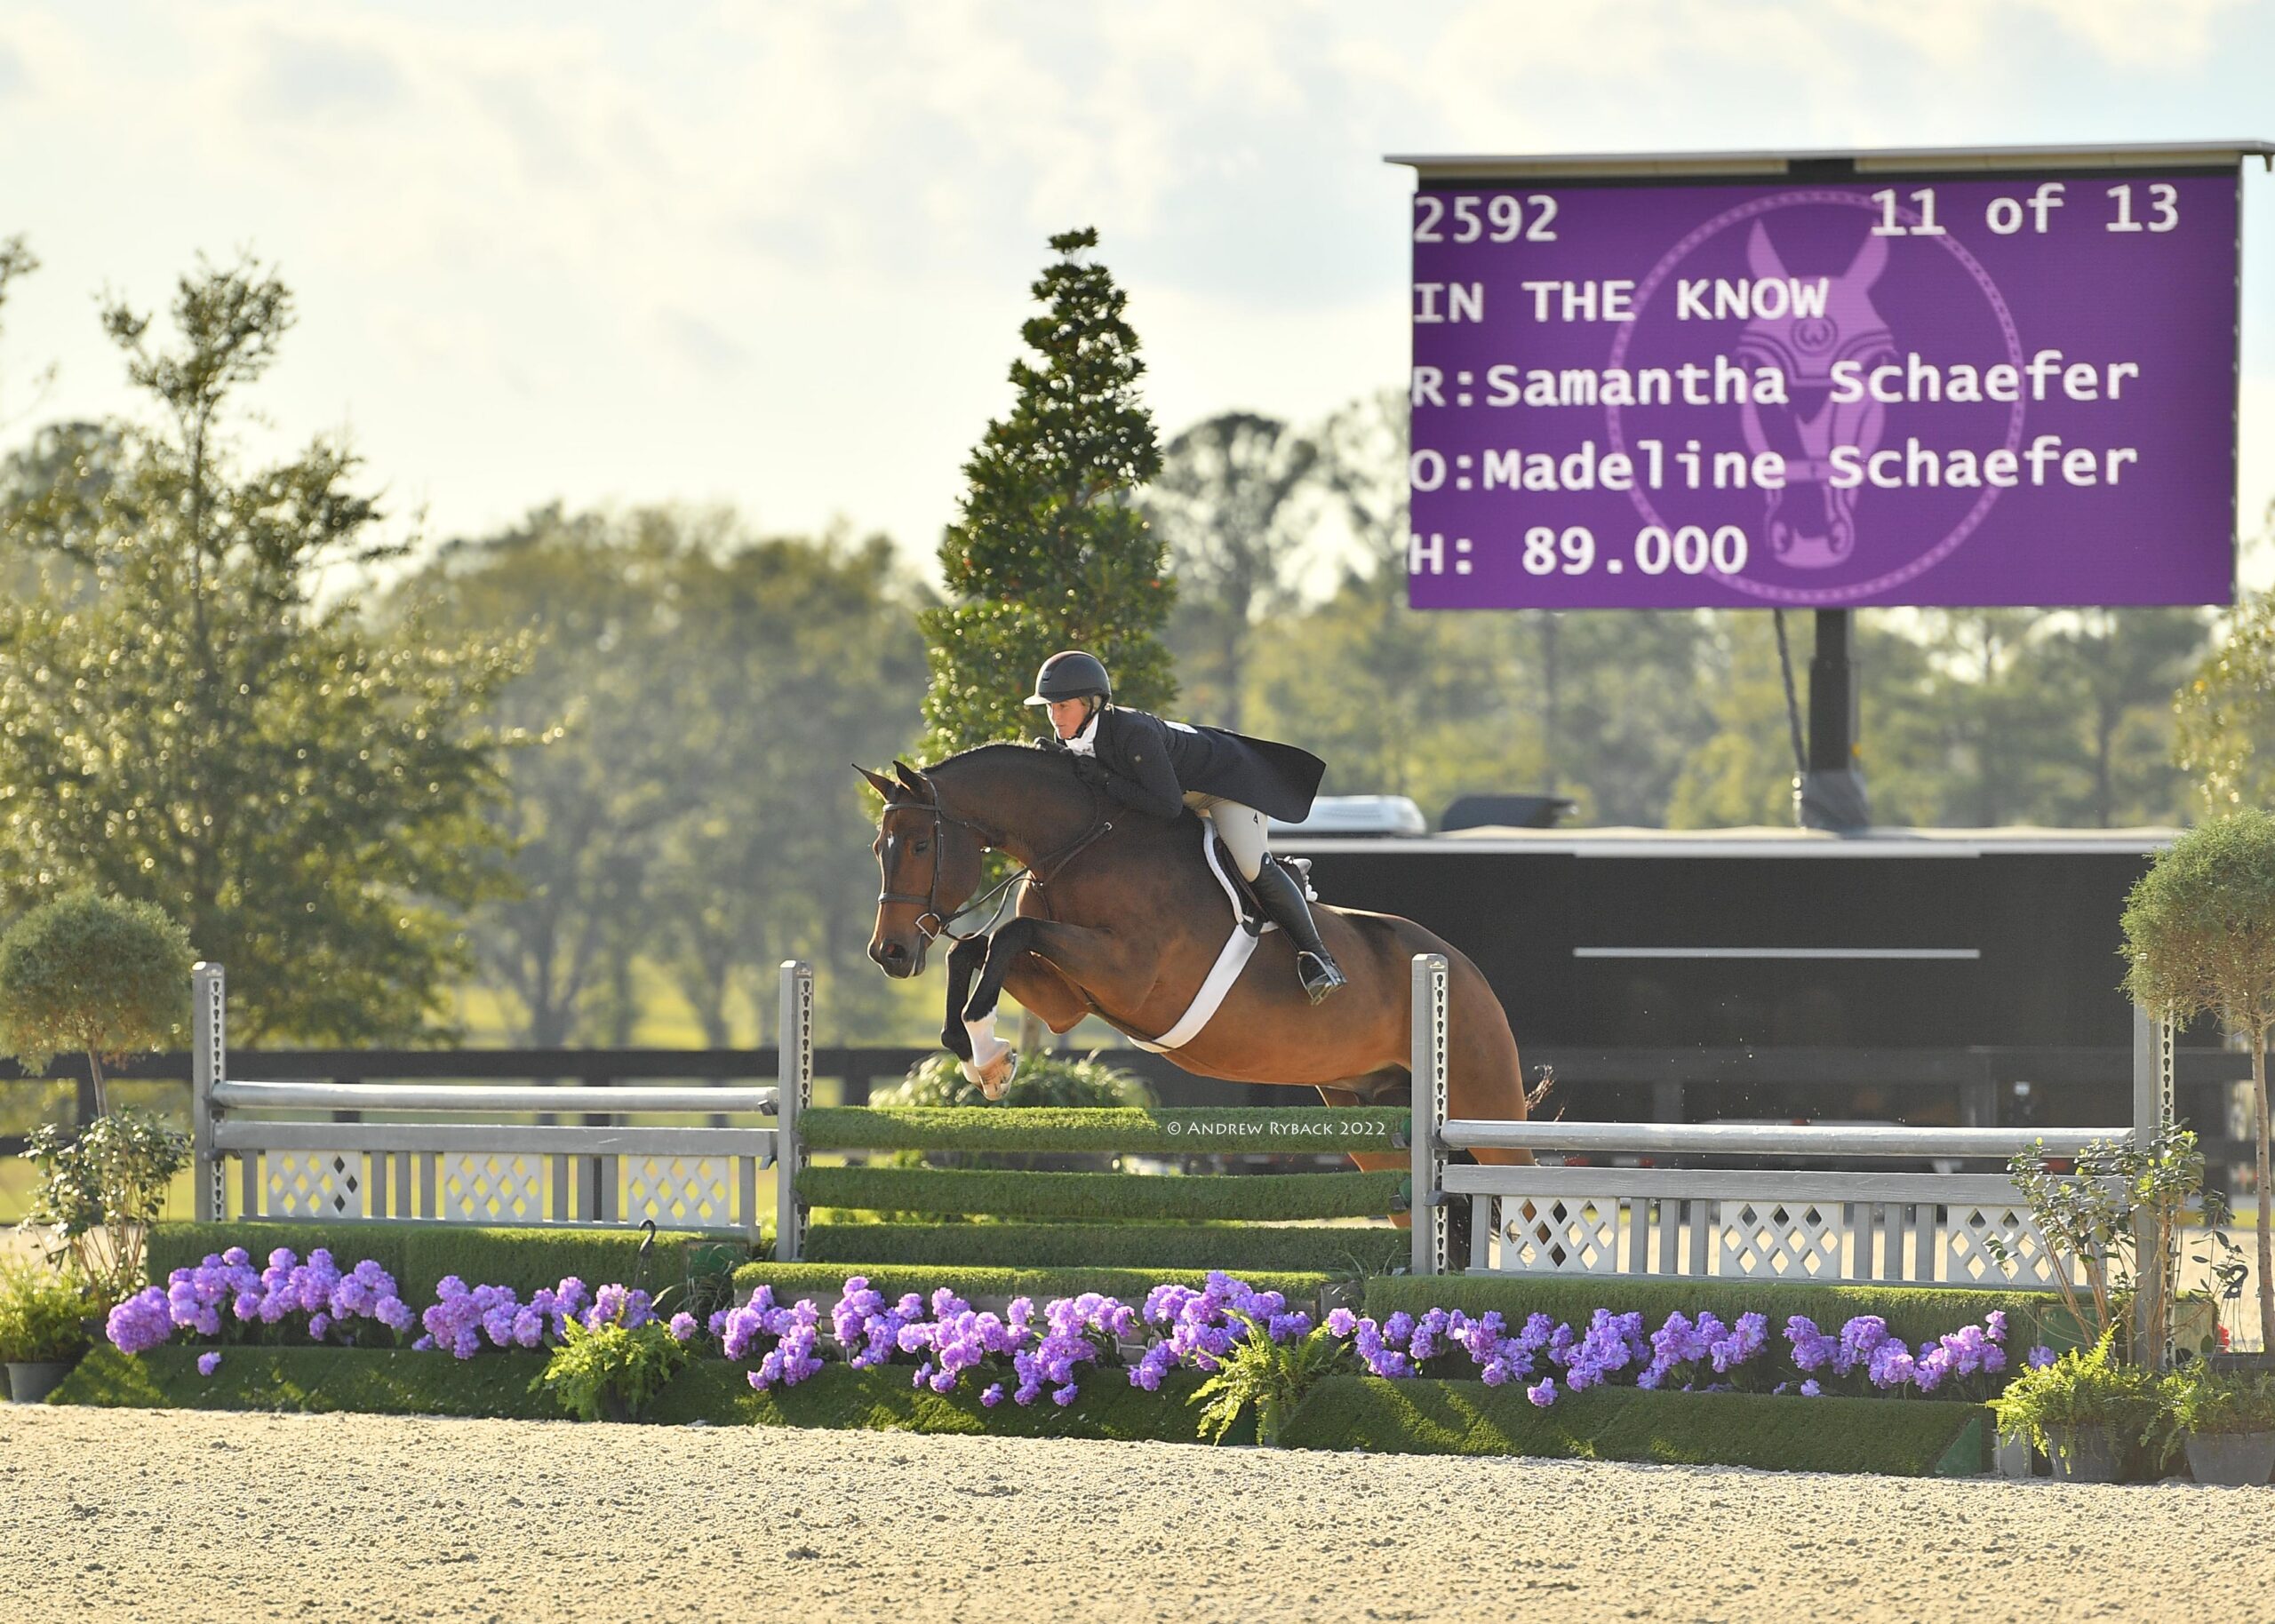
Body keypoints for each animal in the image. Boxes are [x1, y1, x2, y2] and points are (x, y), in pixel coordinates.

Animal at [857, 743, 1536, 1189]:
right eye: (877, 849)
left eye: (920, 844)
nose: (889, 954)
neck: (1082, 844)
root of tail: (1461, 970)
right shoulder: (1066, 997)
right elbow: (978, 947)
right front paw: (977, 1052)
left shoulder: (1128, 974)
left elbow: (1008, 934)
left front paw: (990, 1054)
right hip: (1366, 1110)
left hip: (1485, 1102)